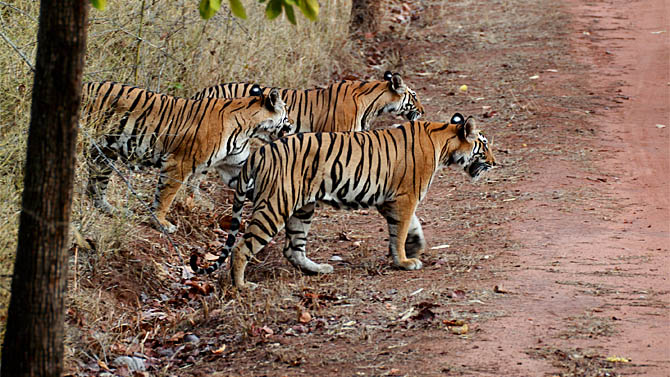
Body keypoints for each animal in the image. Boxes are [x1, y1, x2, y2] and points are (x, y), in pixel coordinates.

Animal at [80, 81, 294, 232]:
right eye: (286, 112)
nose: (292, 125)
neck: (249, 128)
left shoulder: (235, 167)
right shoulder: (179, 163)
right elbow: (166, 196)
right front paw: (162, 223)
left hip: (104, 155)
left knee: (96, 188)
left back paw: (111, 210)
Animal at [190, 113, 498, 286]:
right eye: (484, 145)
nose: (496, 163)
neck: (443, 142)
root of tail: (260, 152)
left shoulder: (390, 200)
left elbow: (410, 226)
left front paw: (414, 246)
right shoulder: (405, 197)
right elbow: (400, 230)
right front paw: (404, 261)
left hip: (303, 208)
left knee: (292, 249)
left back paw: (318, 270)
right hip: (275, 206)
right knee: (242, 247)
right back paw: (242, 286)